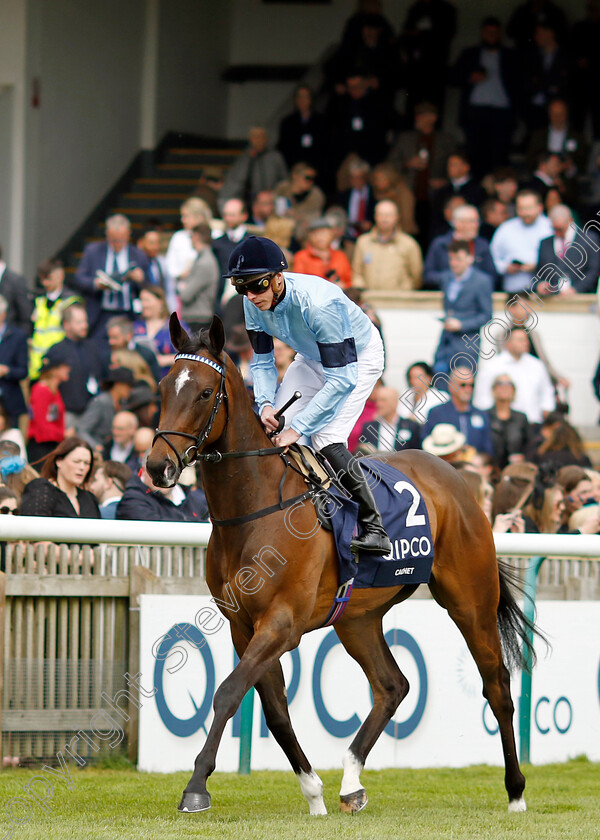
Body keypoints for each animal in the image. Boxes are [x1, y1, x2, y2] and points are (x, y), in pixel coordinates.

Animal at [146, 314, 536, 812]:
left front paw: (196, 786)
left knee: (498, 686)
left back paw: (516, 792)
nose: (157, 467)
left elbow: (229, 692)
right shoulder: (243, 625)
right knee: (393, 685)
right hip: (357, 617)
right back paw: (351, 780)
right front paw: (314, 792)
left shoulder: (282, 623)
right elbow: (275, 712)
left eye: (203, 393)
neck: (254, 509)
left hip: (470, 600)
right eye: (162, 388)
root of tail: (456, 478)